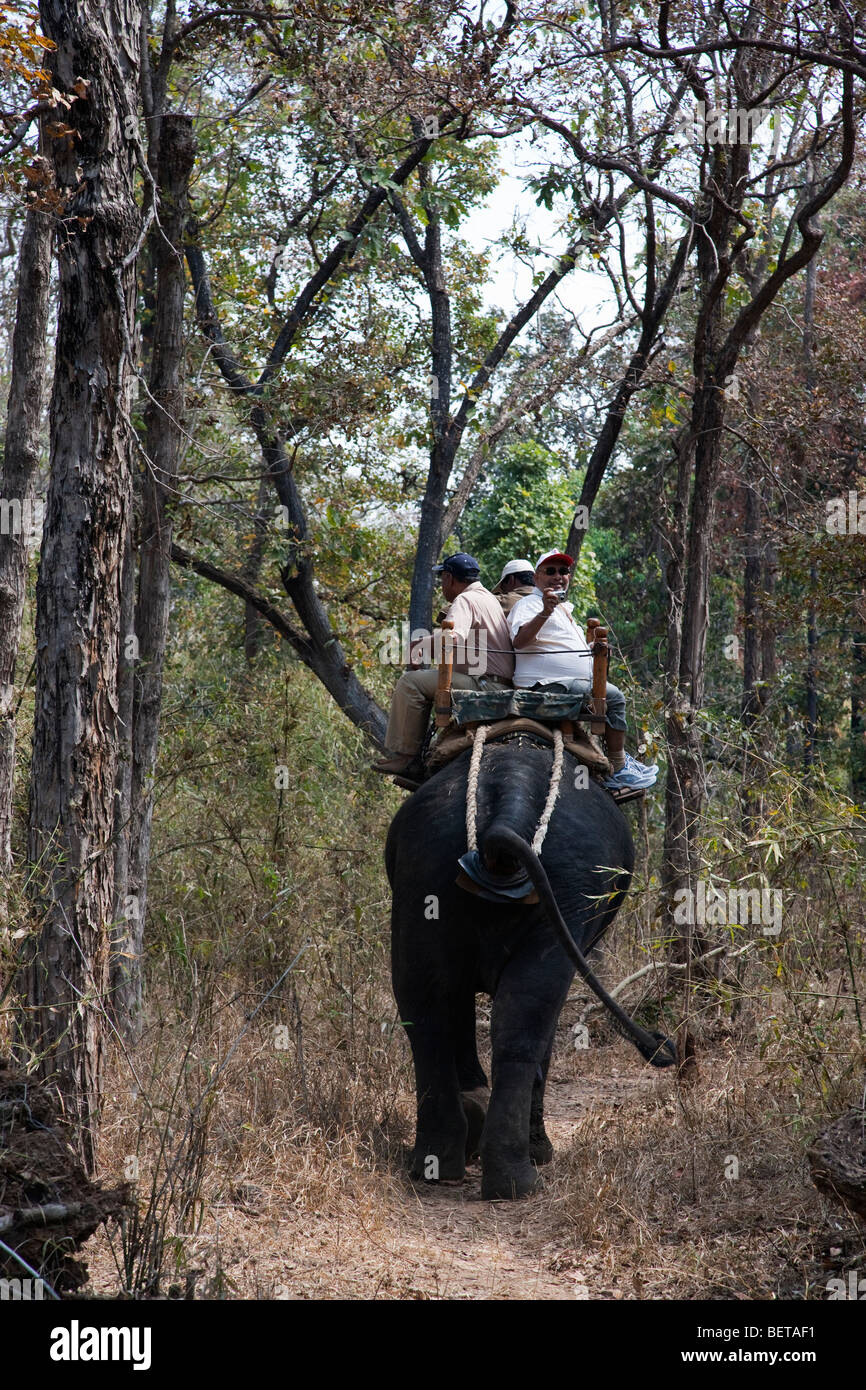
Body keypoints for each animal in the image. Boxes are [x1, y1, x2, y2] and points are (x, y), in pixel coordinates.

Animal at [386, 738, 675, 1200]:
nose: (664, 1045)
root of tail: (511, 793)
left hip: (423, 868)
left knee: (425, 1010)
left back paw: (437, 1163)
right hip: (570, 883)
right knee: (527, 1017)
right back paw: (519, 1175)